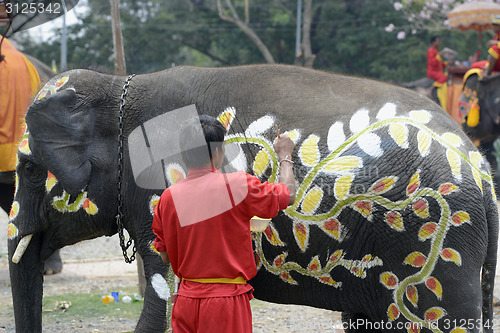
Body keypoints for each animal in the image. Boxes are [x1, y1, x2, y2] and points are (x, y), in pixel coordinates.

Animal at [9, 63, 498, 330]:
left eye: (29, 169)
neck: (117, 87)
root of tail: (482, 170)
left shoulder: (156, 189)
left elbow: (162, 298)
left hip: (439, 243)